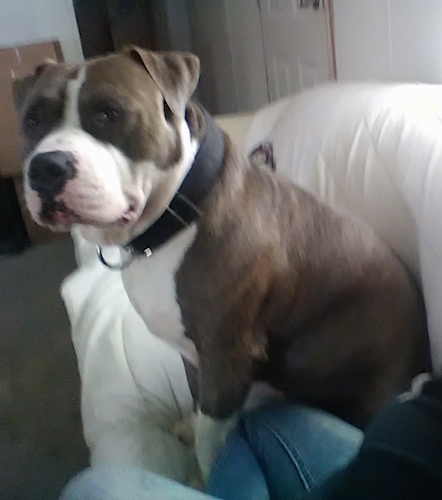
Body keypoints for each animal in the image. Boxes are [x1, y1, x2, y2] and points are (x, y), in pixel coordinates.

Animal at [12, 47, 428, 480]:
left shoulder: (227, 357)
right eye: (32, 119)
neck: (177, 213)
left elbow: (211, 440)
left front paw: (205, 478)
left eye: (109, 113)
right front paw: (189, 426)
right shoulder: (193, 352)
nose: (46, 167)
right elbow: (198, 404)